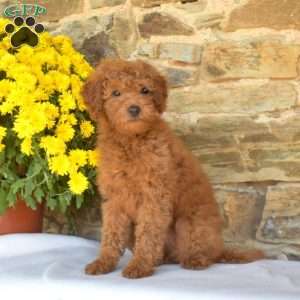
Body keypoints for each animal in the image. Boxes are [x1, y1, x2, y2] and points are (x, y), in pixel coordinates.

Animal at [81, 58, 262, 278]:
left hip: (189, 224)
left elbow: (148, 234)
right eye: (116, 93)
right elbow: (111, 234)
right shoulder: (115, 199)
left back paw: (194, 260)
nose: (134, 109)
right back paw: (160, 260)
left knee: (203, 252)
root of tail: (221, 248)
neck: (131, 141)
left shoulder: (154, 196)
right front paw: (103, 262)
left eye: (144, 90)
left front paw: (139, 266)